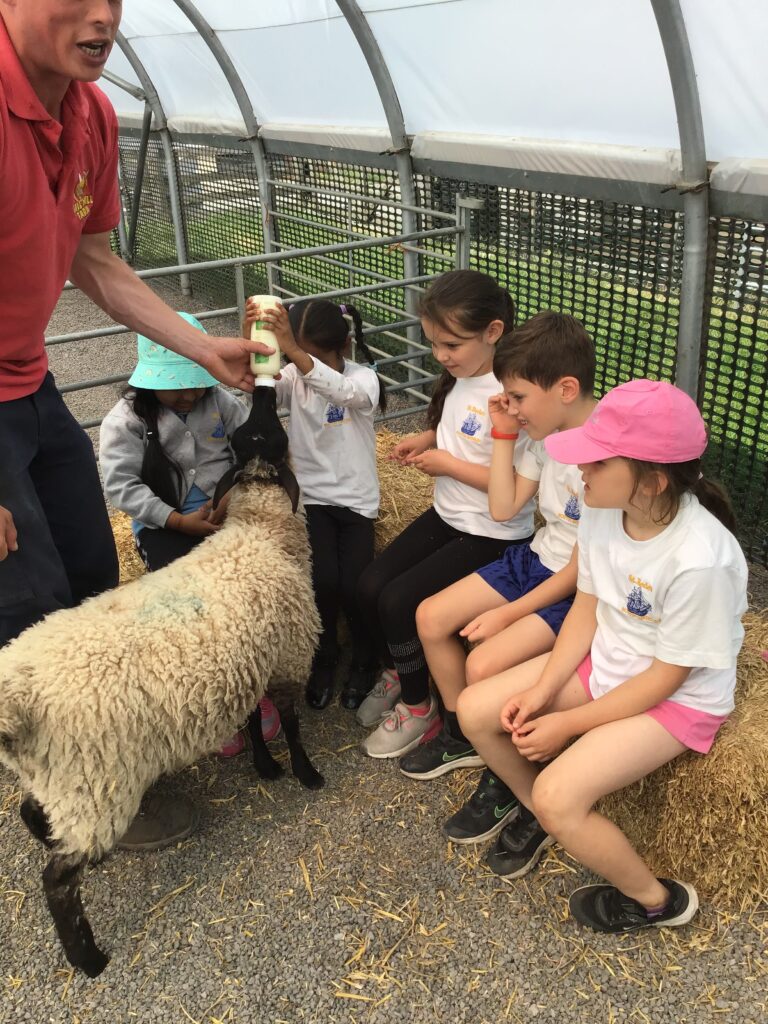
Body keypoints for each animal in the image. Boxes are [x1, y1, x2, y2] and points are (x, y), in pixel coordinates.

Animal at [0, 385, 323, 978]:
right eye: (264, 431)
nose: (264, 389)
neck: (261, 531)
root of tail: (17, 699)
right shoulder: (288, 657)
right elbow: (289, 723)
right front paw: (305, 772)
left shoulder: (250, 660)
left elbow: (252, 719)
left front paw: (264, 766)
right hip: (96, 782)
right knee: (56, 880)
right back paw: (88, 957)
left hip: (59, 775)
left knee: (31, 810)